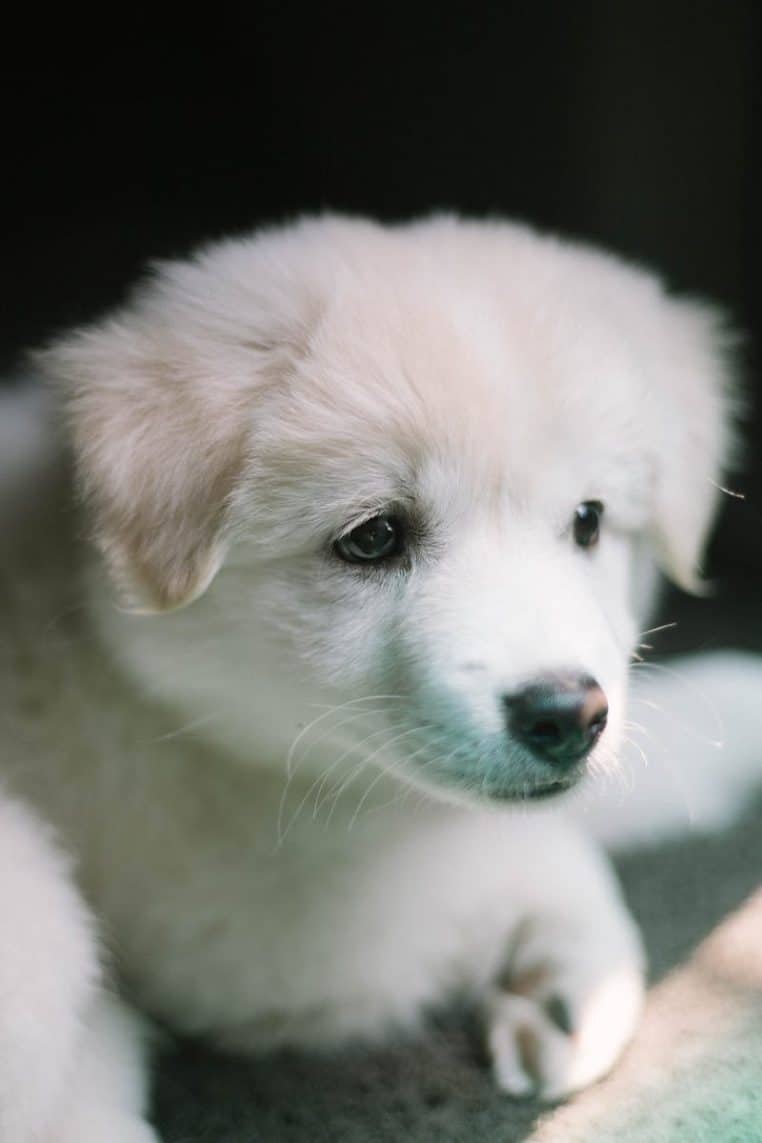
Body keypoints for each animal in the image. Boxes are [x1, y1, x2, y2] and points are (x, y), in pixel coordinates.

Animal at [1, 212, 758, 1133]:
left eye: (588, 521)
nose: (567, 716)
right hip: (38, 912)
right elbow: (542, 851)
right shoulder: (246, 914)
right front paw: (570, 966)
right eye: (371, 538)